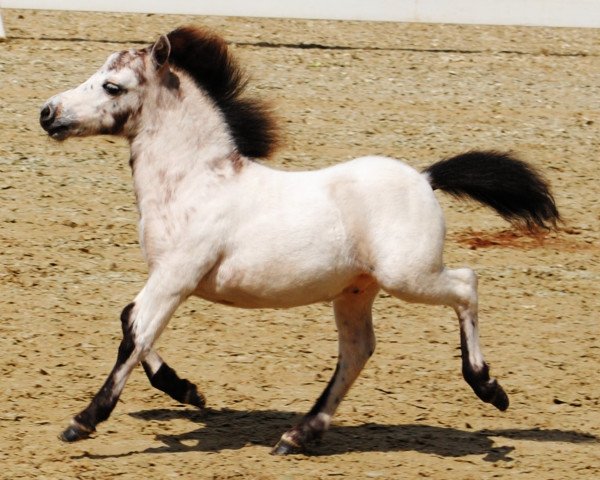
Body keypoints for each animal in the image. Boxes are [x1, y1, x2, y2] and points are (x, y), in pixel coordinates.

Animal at [39, 26, 560, 454]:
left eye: (113, 86)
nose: (48, 113)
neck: (195, 182)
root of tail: (424, 178)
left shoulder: (175, 277)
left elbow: (136, 334)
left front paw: (83, 421)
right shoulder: (166, 279)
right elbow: (131, 322)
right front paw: (187, 391)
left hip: (410, 276)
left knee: (466, 285)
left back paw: (488, 388)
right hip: (357, 290)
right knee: (358, 350)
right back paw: (298, 435)